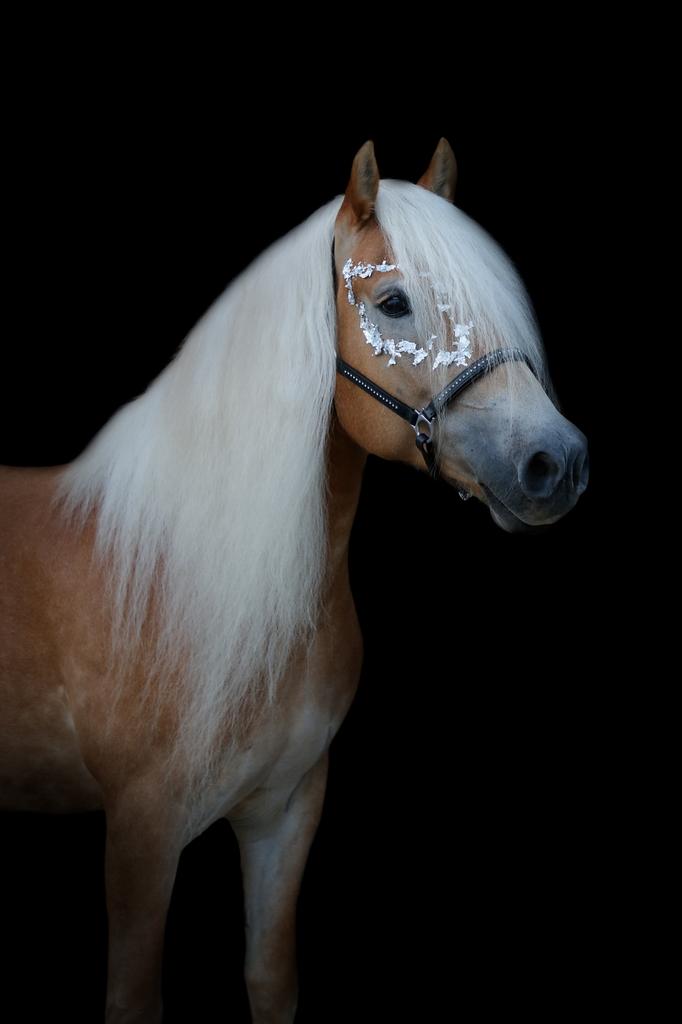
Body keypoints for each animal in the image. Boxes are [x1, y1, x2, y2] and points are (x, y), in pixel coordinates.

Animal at [0, 139, 588, 1023]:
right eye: (393, 302)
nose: (556, 463)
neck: (192, 582)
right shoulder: (140, 831)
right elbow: (134, 999)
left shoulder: (286, 811)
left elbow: (271, 981)